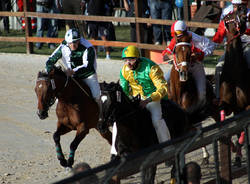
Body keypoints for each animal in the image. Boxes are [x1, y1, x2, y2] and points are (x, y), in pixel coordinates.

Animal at [168, 32, 221, 165]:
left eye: (189, 52)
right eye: (176, 52)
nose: (183, 73)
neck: (179, 92)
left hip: (213, 110)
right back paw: (205, 156)